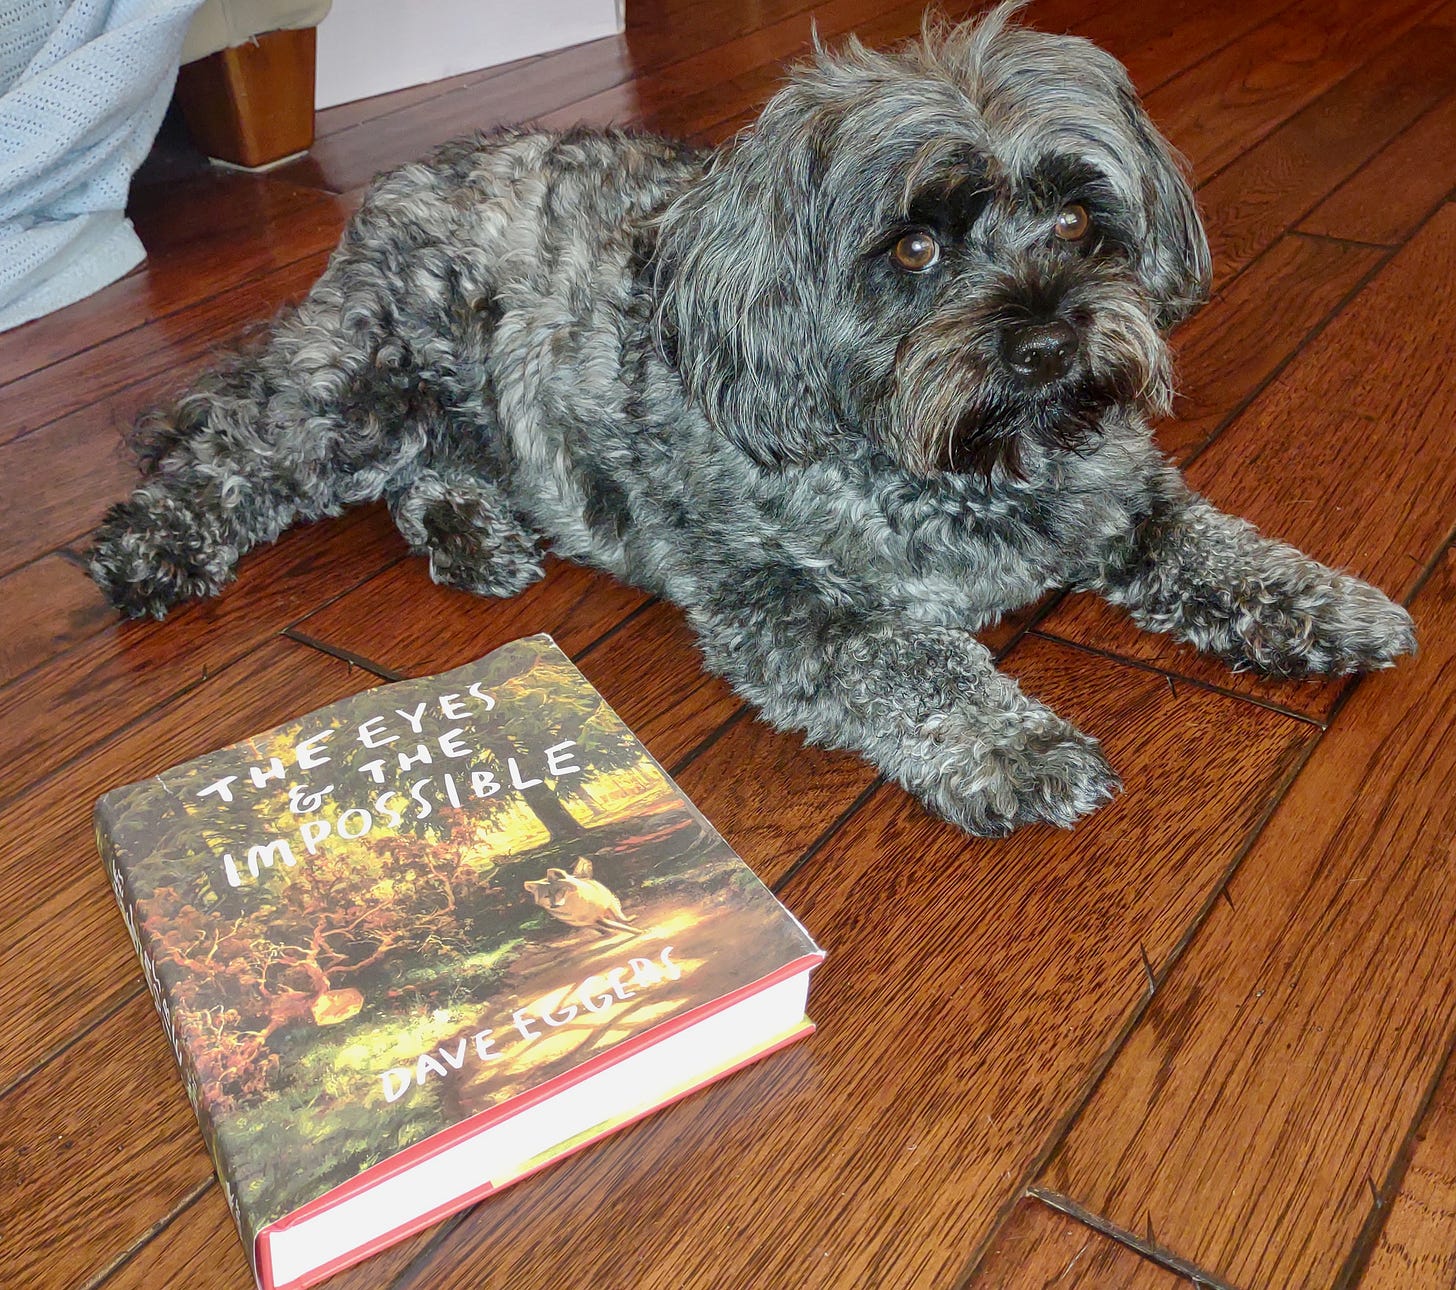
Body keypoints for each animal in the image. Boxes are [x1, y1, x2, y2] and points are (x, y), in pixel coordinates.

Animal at [88, 5, 1409, 838]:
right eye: (913, 247)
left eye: (1081, 221)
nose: (1045, 343)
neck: (962, 465)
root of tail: (386, 197)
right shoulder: (777, 600)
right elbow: (911, 661)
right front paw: (1015, 748)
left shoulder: (1120, 494)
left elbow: (1222, 548)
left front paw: (1329, 605)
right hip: (362, 387)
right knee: (237, 450)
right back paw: (152, 547)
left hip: (453, 417)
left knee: (427, 474)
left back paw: (471, 533)